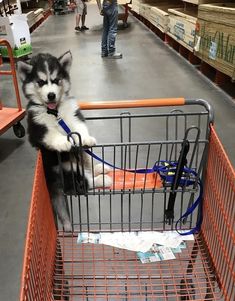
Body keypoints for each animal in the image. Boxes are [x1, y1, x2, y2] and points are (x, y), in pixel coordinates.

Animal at [17, 51, 111, 230]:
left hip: (81, 159)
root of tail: (52, 183)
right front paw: (64, 142)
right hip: (68, 170)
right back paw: (103, 179)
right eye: (40, 82)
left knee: (88, 165)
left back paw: (101, 167)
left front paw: (86, 138)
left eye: (56, 80)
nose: (51, 95)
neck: (55, 112)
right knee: (85, 184)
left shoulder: (74, 116)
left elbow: (79, 129)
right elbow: (52, 134)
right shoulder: (37, 129)